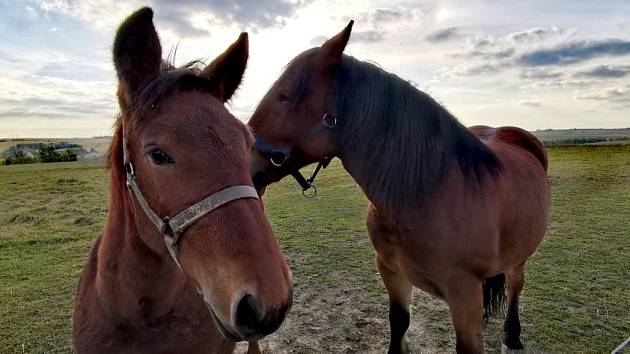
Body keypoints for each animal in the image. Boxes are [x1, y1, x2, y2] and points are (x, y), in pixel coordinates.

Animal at [249, 22, 552, 354]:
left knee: (516, 282)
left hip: (519, 255)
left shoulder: (465, 294)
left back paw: (513, 335)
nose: (241, 157)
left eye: (284, 96)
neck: (425, 195)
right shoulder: (392, 271)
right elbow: (399, 322)